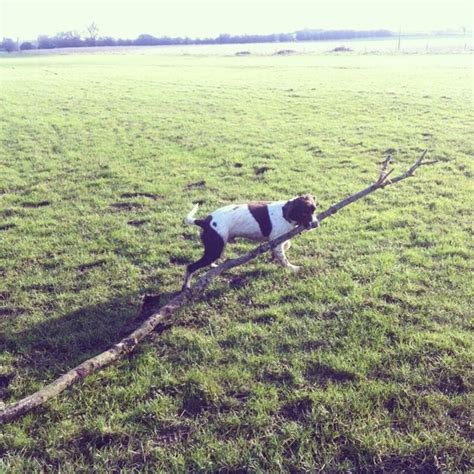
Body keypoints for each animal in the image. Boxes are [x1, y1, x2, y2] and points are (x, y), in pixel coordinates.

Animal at [181, 193, 318, 288]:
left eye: (315, 210)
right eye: (304, 213)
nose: (316, 224)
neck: (285, 213)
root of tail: (205, 221)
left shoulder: (278, 240)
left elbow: (286, 246)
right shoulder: (276, 242)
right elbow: (283, 259)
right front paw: (293, 268)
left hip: (216, 248)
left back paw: (214, 266)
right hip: (215, 248)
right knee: (191, 267)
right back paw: (186, 287)